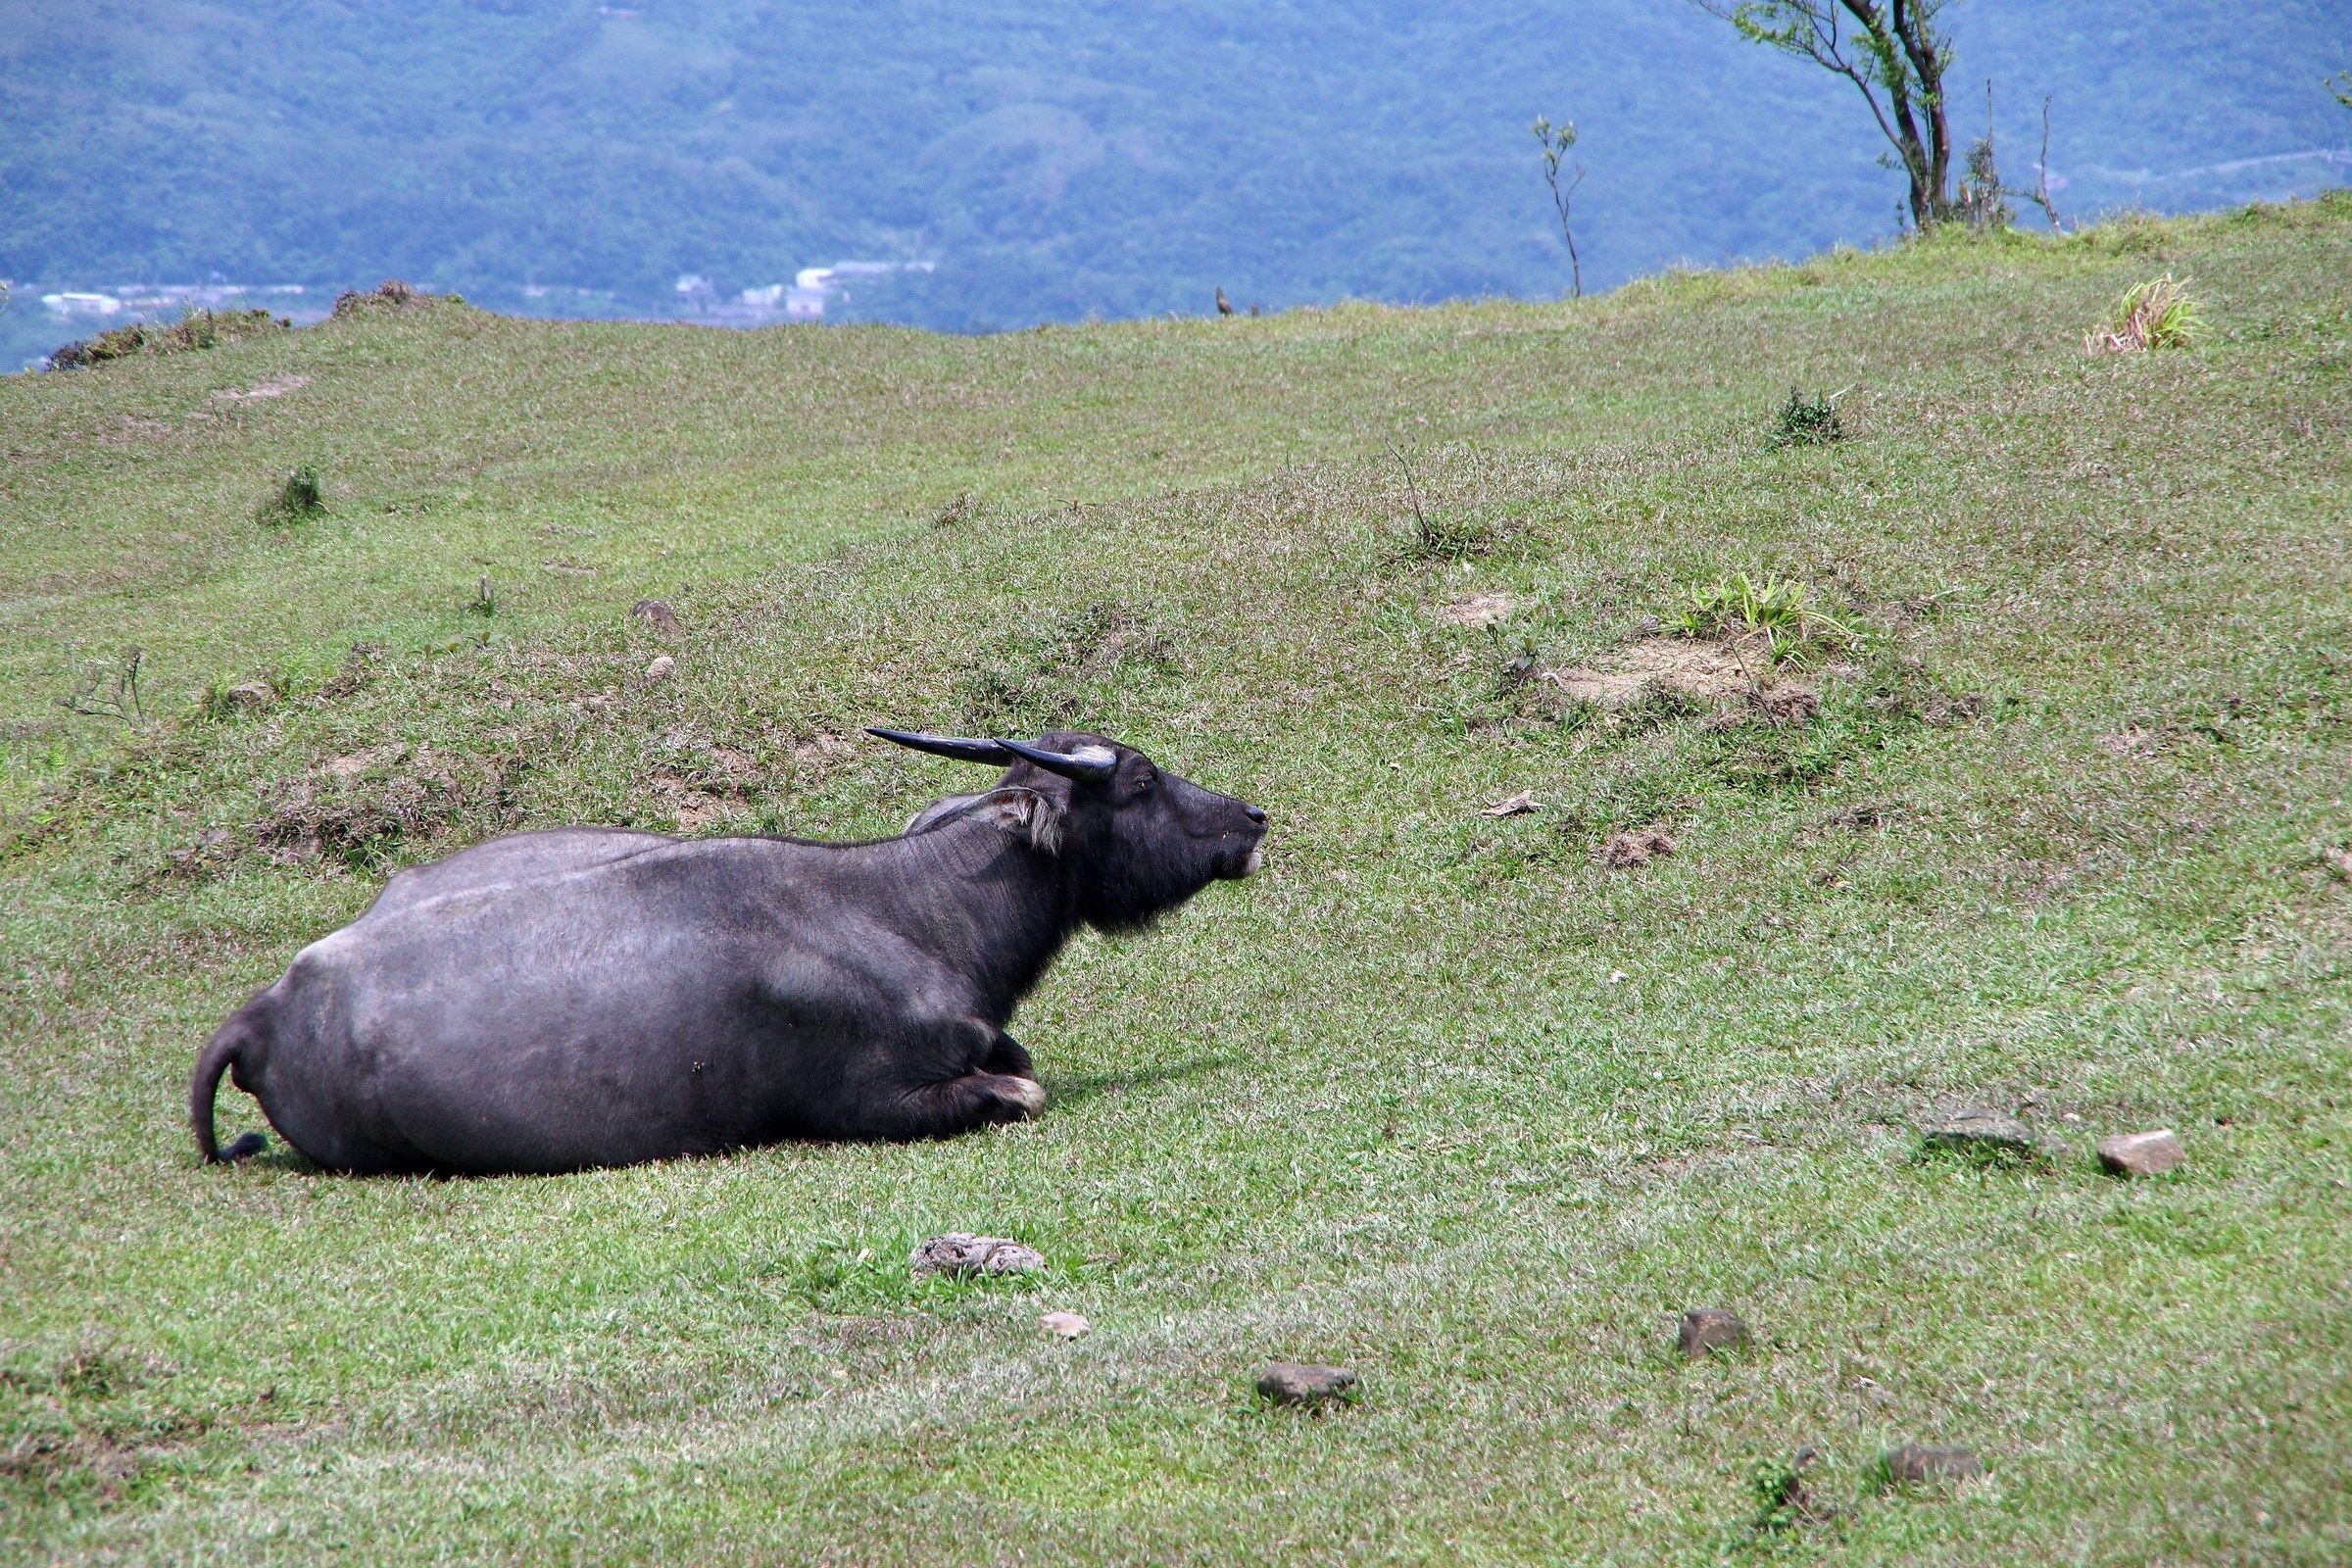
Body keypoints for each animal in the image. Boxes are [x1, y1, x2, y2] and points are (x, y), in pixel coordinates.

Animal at [191, 728, 1267, 1175]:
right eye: (1139, 776)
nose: (1250, 817)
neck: (902, 909)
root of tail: (267, 1008)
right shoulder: (880, 1102)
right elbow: (1023, 1090)